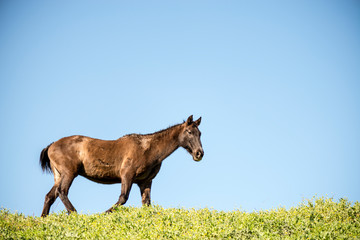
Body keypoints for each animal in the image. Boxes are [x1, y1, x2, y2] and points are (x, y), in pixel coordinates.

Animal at [39, 115, 204, 217]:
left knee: (50, 196)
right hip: (69, 173)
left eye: (200, 133)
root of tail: (51, 146)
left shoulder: (145, 181)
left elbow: (147, 204)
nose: (199, 153)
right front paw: (104, 214)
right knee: (62, 191)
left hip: (59, 175)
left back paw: (43, 219)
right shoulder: (127, 175)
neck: (148, 149)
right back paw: (75, 214)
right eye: (189, 132)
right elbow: (123, 198)